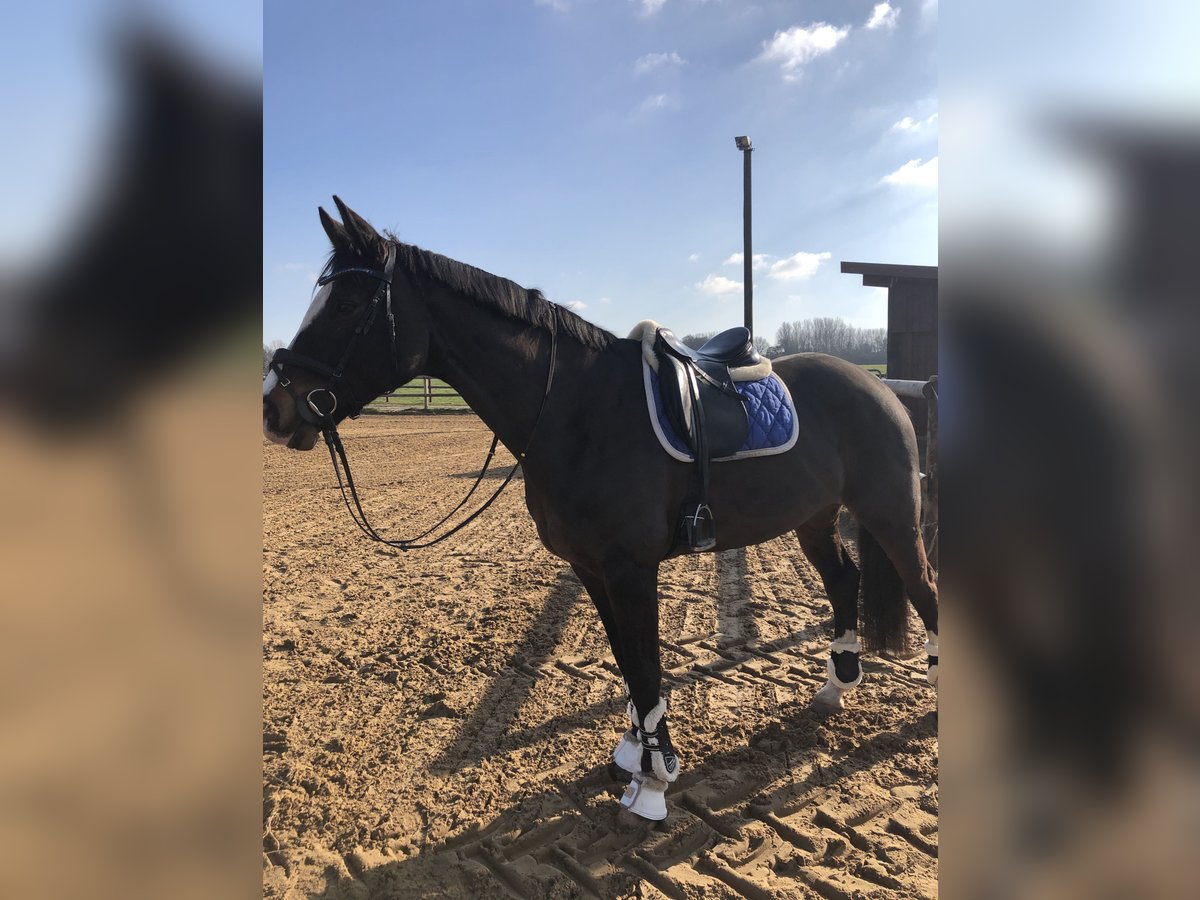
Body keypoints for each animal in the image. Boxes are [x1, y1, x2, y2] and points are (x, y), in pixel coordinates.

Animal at [263, 197, 938, 820]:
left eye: (346, 306)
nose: (274, 408)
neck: (577, 410)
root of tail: (879, 385)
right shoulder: (590, 569)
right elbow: (626, 662)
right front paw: (636, 755)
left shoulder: (631, 570)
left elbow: (645, 667)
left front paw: (656, 781)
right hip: (814, 518)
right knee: (845, 580)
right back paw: (835, 686)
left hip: (892, 515)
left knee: (924, 589)